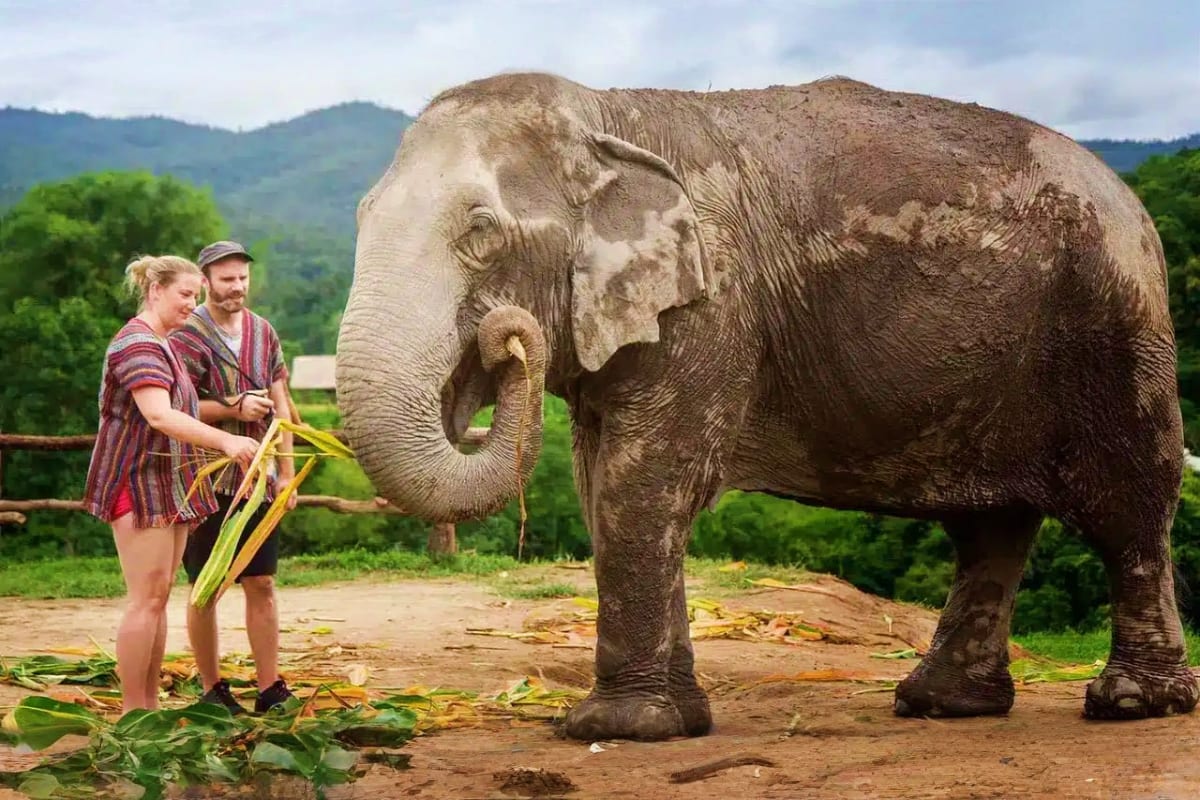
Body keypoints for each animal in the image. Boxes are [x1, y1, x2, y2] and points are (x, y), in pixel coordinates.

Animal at [335, 71, 1199, 741]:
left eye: (480, 231)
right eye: (360, 217)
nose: (504, 340)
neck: (609, 113)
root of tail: (1134, 203)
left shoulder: (713, 301)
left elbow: (644, 483)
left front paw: (615, 729)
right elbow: (600, 485)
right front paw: (680, 722)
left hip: (1113, 324)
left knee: (1128, 504)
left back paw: (1132, 704)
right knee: (992, 527)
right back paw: (942, 705)